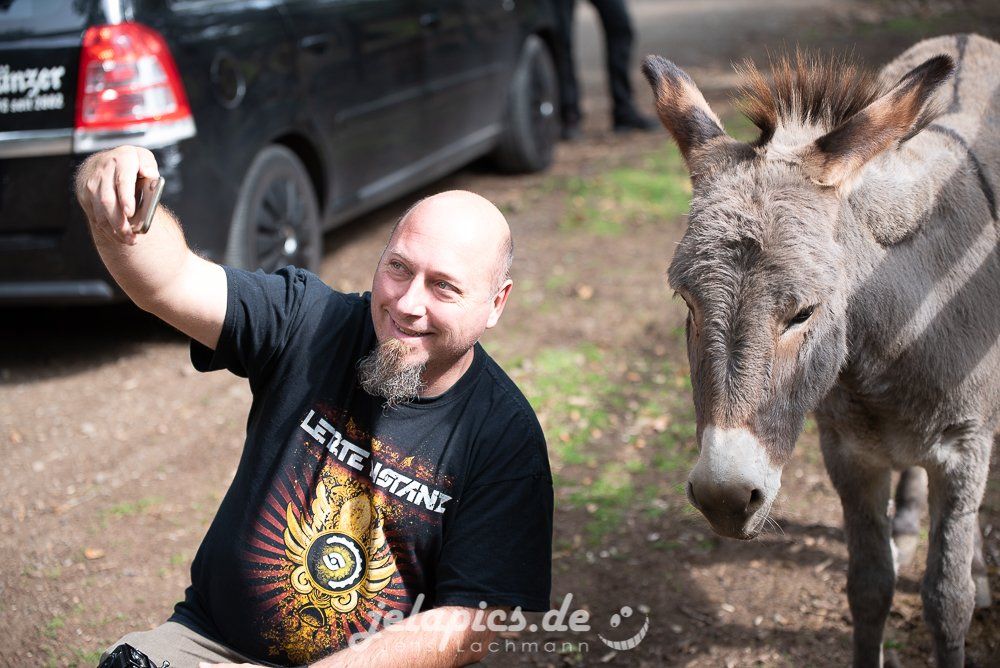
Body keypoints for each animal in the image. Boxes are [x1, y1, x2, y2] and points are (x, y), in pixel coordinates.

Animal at [641, 34, 998, 667]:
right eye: (686, 300)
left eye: (804, 313)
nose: (725, 497)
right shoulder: (849, 454)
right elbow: (869, 587)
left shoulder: (965, 448)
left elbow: (946, 599)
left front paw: (964, 587)